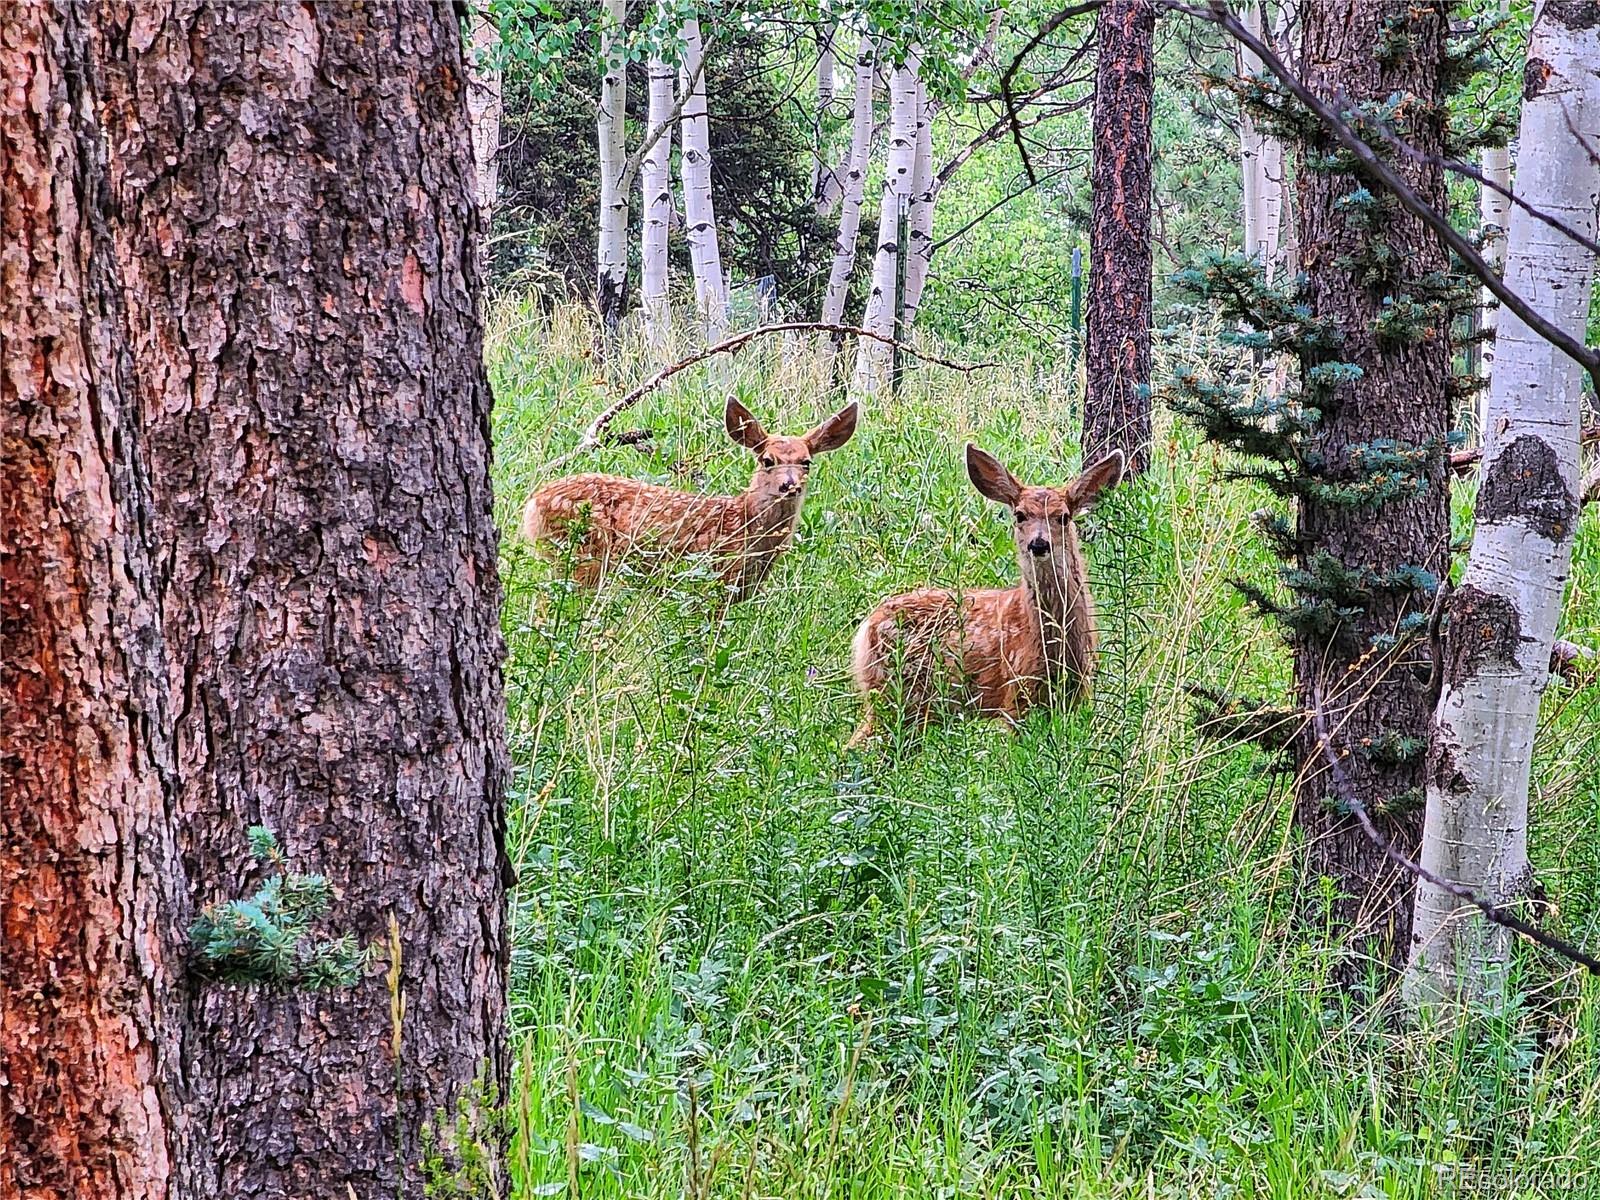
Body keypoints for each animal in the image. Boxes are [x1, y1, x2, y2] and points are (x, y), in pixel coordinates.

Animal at [524, 396, 857, 598]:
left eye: (806, 462)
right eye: (767, 460)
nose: (790, 485)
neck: (744, 524)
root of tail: (533, 504)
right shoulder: (711, 580)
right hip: (581, 555)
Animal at [851, 441, 1126, 742]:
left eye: (1063, 517)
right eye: (1020, 515)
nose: (1038, 544)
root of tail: (866, 628)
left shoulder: (1077, 692)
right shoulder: (1017, 692)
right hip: (897, 694)